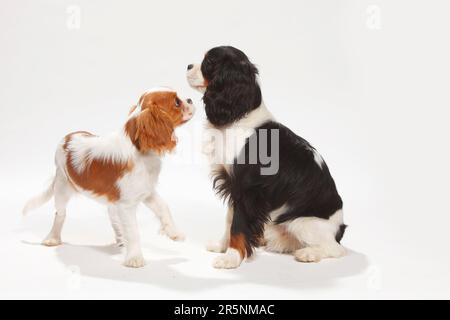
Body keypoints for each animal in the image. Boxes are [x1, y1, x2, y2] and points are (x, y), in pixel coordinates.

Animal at [23, 87, 195, 268]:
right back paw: (53, 238)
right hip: (62, 186)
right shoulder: (127, 205)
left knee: (112, 216)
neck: (139, 148)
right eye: (177, 102)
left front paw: (174, 233)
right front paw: (134, 258)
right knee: (60, 214)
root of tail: (67, 137)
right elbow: (133, 231)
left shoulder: (146, 192)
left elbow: (164, 207)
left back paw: (120, 239)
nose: (190, 99)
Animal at [186, 46, 344, 268]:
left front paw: (231, 258)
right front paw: (222, 246)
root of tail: (340, 228)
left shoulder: (247, 191)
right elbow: (229, 220)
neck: (238, 117)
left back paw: (308, 253)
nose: (188, 66)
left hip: (301, 221)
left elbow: (237, 225)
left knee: (335, 248)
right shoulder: (233, 187)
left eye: (208, 62)